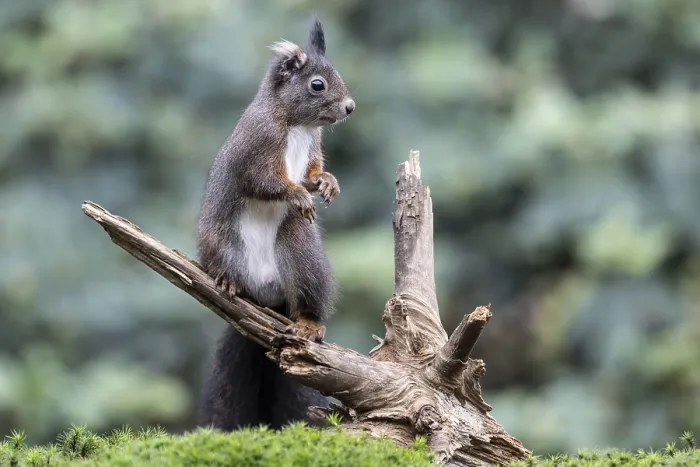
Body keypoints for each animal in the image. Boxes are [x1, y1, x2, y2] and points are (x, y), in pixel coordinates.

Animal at [196, 18, 354, 431]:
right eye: (317, 84)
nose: (350, 107)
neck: (297, 125)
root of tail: (267, 300)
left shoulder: (312, 148)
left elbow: (313, 171)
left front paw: (327, 183)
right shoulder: (257, 149)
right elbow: (265, 183)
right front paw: (297, 194)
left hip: (301, 254)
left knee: (307, 303)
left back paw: (309, 325)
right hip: (221, 241)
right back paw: (226, 281)